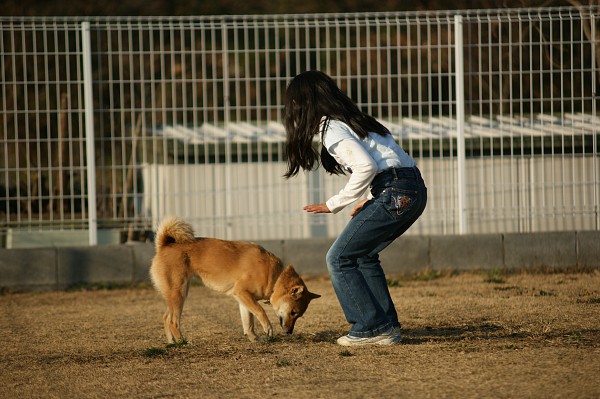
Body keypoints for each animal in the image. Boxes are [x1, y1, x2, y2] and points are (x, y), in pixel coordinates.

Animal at [149, 217, 318, 342]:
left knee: (166, 317)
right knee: (173, 321)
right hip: (179, 294)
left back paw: (172, 343)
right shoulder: (242, 293)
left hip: (178, 294)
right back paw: (182, 341)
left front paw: (254, 339)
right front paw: (267, 329)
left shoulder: (243, 299)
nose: (289, 332)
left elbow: (248, 323)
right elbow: (260, 311)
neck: (274, 277)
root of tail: (164, 245)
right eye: (293, 312)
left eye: (299, 315)